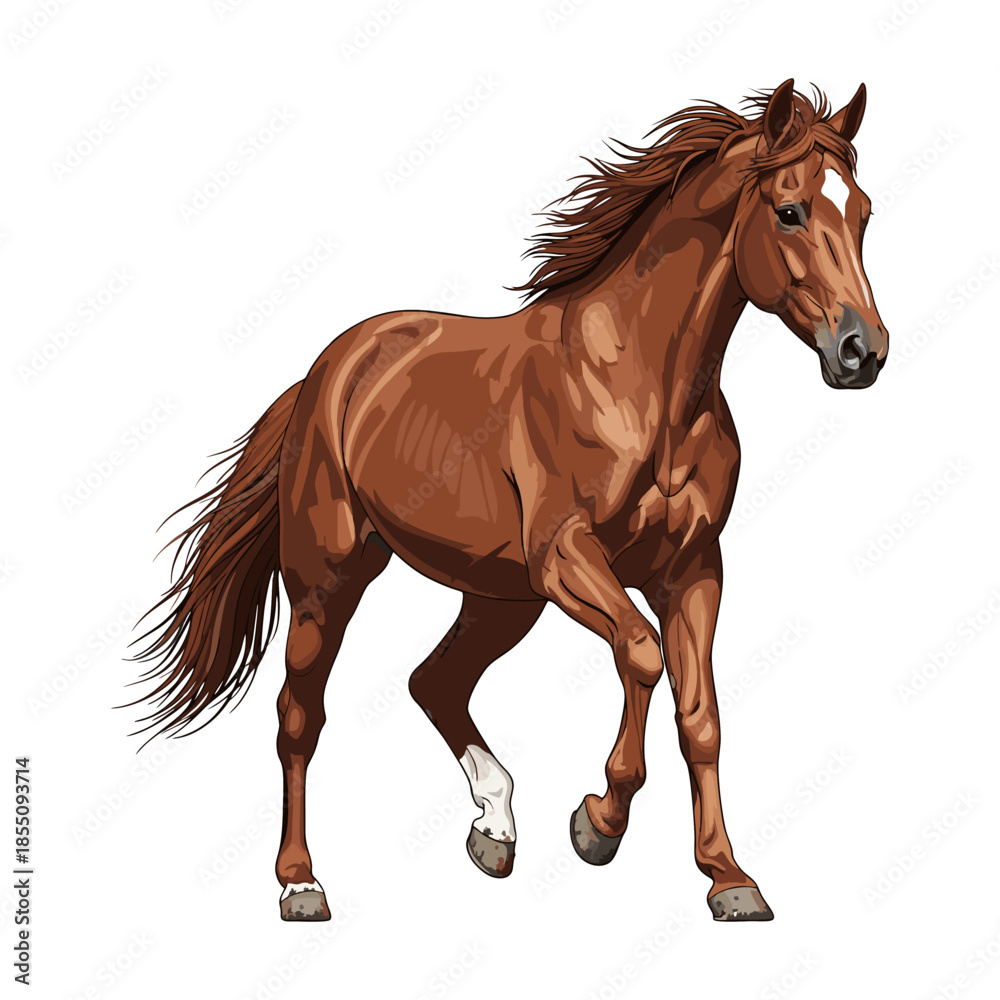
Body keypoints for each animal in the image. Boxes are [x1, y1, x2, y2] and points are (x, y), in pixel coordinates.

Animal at [130, 79, 888, 922]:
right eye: (790, 210)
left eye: (863, 213)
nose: (863, 352)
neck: (643, 388)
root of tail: (328, 371)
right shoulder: (565, 555)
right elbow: (642, 653)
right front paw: (597, 824)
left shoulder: (692, 568)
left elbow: (702, 717)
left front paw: (729, 879)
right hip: (330, 578)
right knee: (300, 717)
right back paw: (302, 882)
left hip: (500, 597)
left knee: (433, 681)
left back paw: (494, 828)